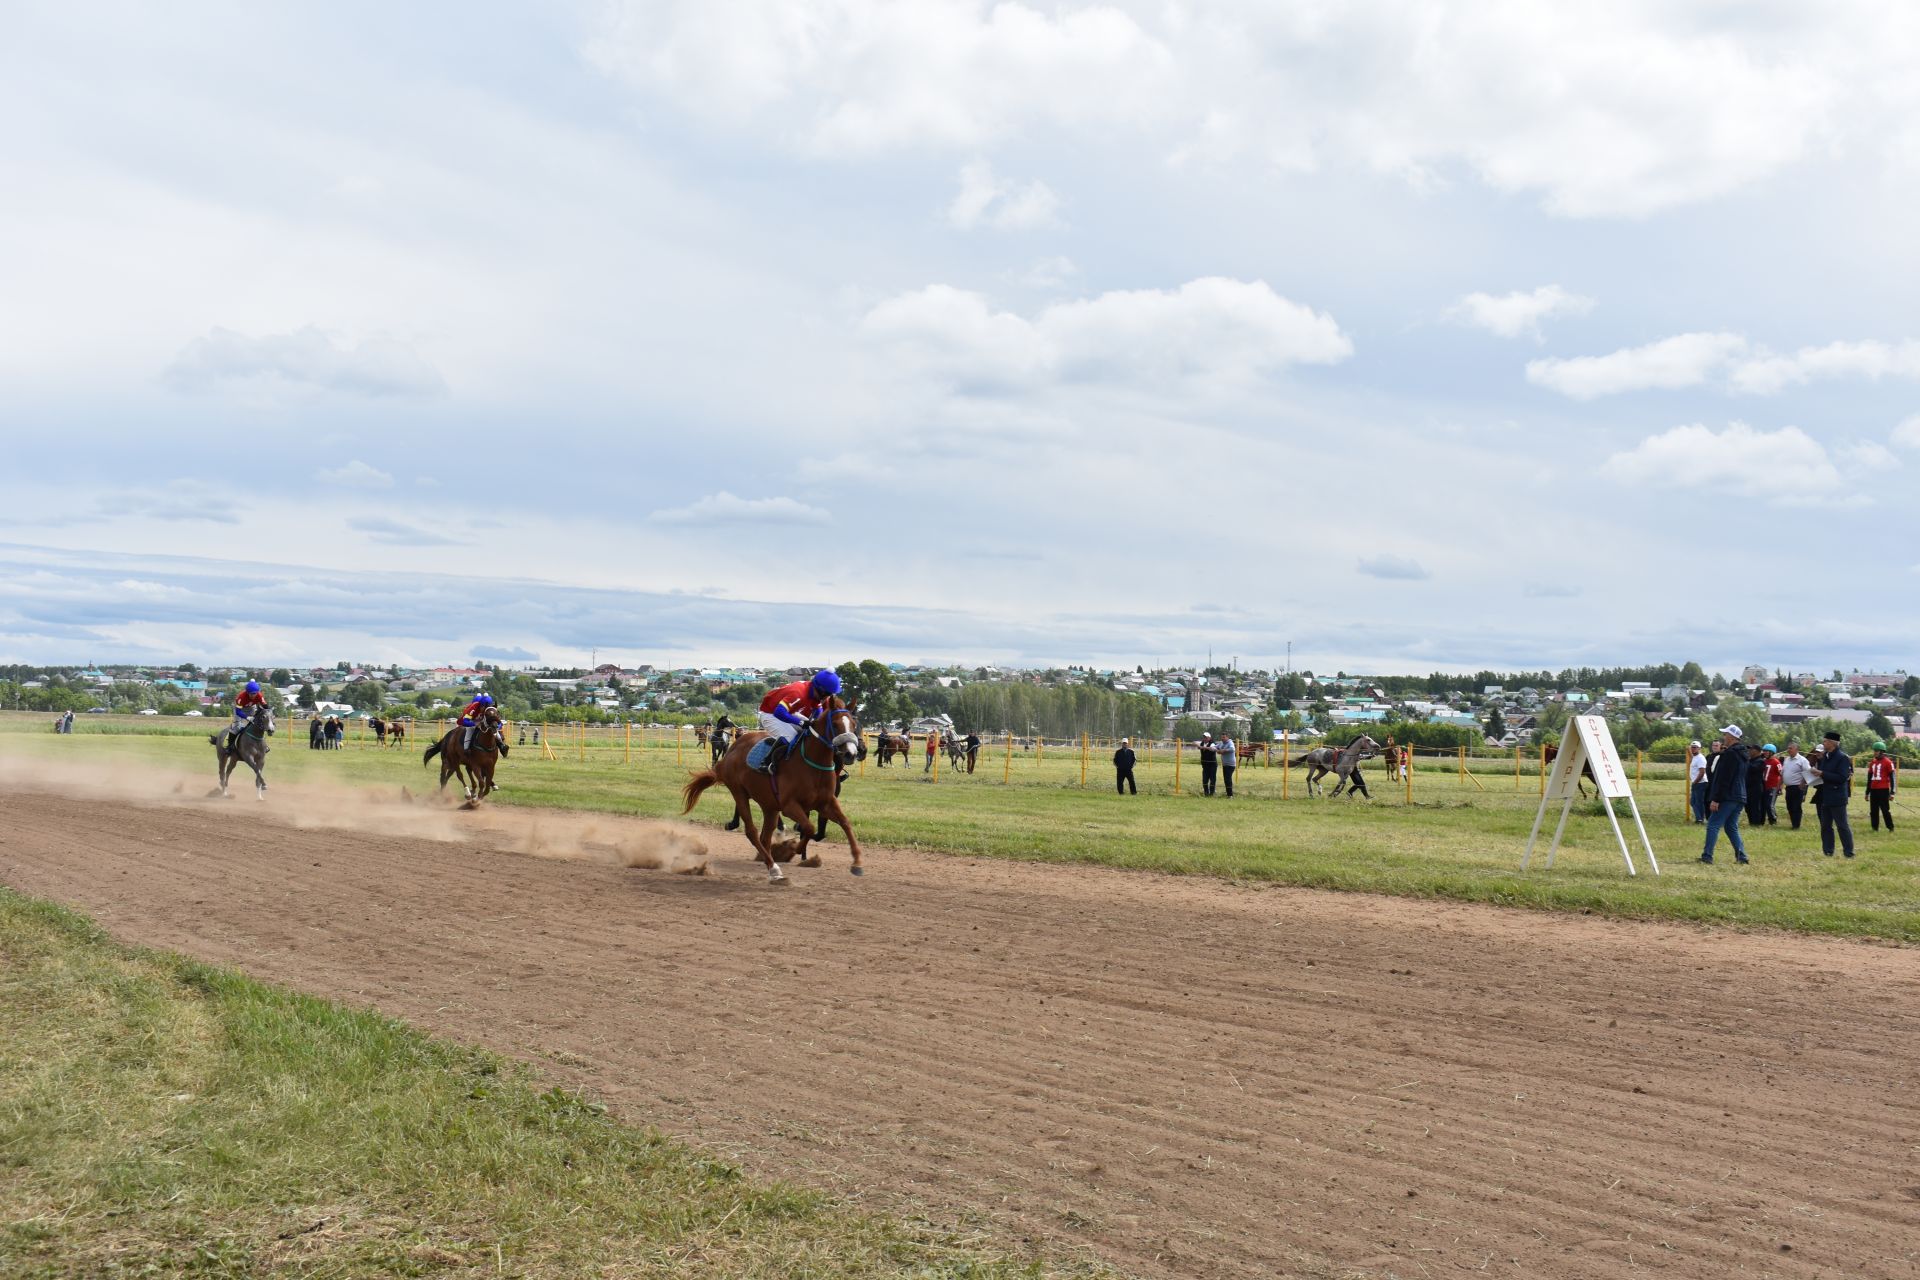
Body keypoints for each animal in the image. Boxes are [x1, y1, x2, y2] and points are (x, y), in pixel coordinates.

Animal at [683, 702, 871, 882]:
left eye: (855, 725)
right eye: (836, 724)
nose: (855, 752)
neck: (813, 764)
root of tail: (733, 749)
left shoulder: (826, 802)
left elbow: (843, 823)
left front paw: (857, 863)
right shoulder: (790, 806)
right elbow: (809, 828)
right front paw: (794, 848)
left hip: (769, 804)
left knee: (765, 836)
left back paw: (770, 860)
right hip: (739, 791)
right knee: (752, 832)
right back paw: (773, 866)